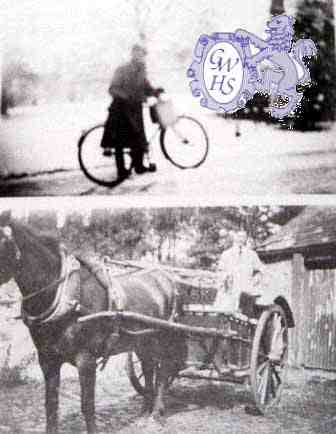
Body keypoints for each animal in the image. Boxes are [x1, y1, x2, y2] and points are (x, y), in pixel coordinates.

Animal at [0, 212, 186, 432]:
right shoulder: (47, 359)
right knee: (148, 367)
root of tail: (169, 278)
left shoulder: (86, 360)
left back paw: (157, 412)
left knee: (163, 370)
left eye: (2, 242)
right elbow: (51, 404)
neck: (66, 296)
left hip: (164, 337)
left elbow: (87, 404)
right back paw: (145, 409)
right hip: (143, 340)